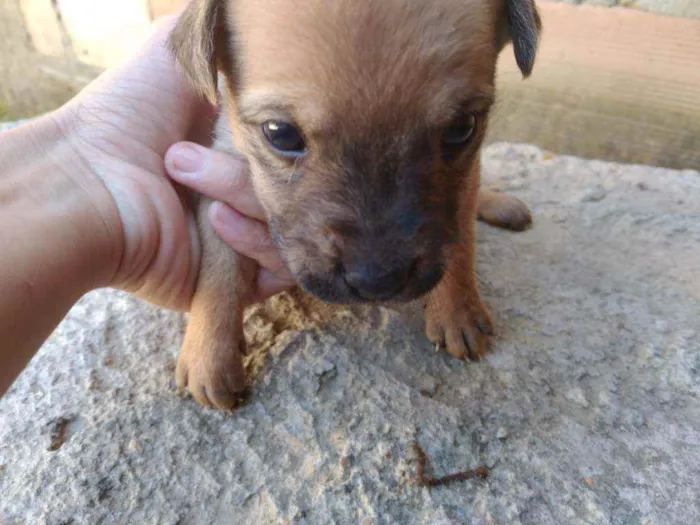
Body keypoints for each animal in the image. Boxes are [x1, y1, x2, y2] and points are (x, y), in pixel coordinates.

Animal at [167, 0, 540, 408]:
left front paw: (458, 310)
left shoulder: (464, 179)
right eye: (280, 134)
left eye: (462, 128)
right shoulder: (218, 169)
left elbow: (460, 240)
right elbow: (217, 267)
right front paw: (208, 354)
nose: (378, 283)